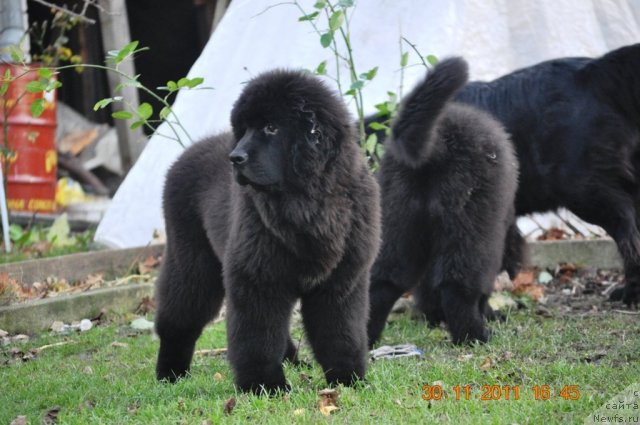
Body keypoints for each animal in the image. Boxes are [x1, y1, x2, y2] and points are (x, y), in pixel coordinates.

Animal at [154, 68, 380, 392]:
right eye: (245, 129)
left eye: (271, 128)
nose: (235, 158)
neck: (308, 202)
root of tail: (188, 153)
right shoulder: (258, 277)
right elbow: (257, 337)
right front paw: (263, 386)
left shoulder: (341, 281)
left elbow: (342, 334)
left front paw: (347, 380)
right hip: (192, 262)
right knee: (179, 317)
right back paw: (170, 373)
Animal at [364, 58, 520, 344]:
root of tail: (440, 139)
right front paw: (490, 314)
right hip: (470, 224)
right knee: (456, 286)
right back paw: (475, 336)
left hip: (395, 219)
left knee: (383, 281)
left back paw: (368, 337)